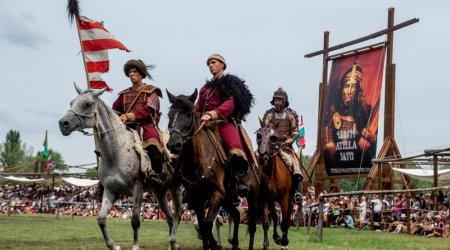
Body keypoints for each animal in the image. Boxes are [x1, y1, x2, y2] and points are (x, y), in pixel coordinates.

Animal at [59, 84, 182, 250]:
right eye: (72, 102)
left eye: (87, 104)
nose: (63, 124)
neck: (116, 153)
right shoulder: (111, 191)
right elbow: (101, 219)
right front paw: (113, 245)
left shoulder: (137, 189)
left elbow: (135, 220)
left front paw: (135, 246)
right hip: (160, 191)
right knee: (169, 217)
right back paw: (172, 245)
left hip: (175, 188)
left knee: (177, 214)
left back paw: (174, 241)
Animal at [166, 90, 260, 250]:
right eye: (169, 114)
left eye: (189, 114)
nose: (173, 144)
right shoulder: (197, 199)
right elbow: (203, 226)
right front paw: (211, 244)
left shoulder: (216, 195)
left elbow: (208, 224)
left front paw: (215, 244)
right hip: (227, 198)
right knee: (236, 215)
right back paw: (234, 243)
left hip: (251, 196)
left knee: (252, 225)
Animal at [256, 120, 296, 249]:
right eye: (259, 135)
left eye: (273, 138)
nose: (263, 157)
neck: (272, 175)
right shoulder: (267, 198)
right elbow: (268, 220)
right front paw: (268, 242)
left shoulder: (284, 199)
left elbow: (284, 222)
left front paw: (283, 241)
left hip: (290, 201)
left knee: (287, 220)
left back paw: (285, 240)